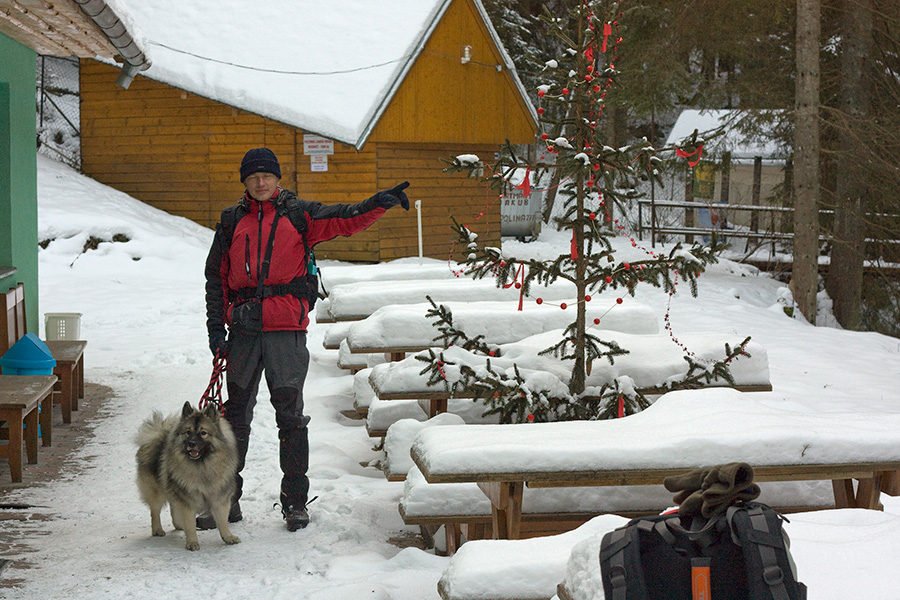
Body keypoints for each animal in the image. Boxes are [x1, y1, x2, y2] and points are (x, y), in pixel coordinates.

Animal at [135, 400, 241, 552]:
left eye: (203, 433)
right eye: (188, 432)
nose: (191, 443)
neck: (202, 467)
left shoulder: (219, 499)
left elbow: (222, 521)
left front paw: (228, 537)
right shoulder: (187, 500)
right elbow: (190, 524)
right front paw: (192, 542)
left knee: (173, 506)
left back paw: (179, 525)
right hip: (157, 492)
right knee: (155, 511)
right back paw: (157, 529)